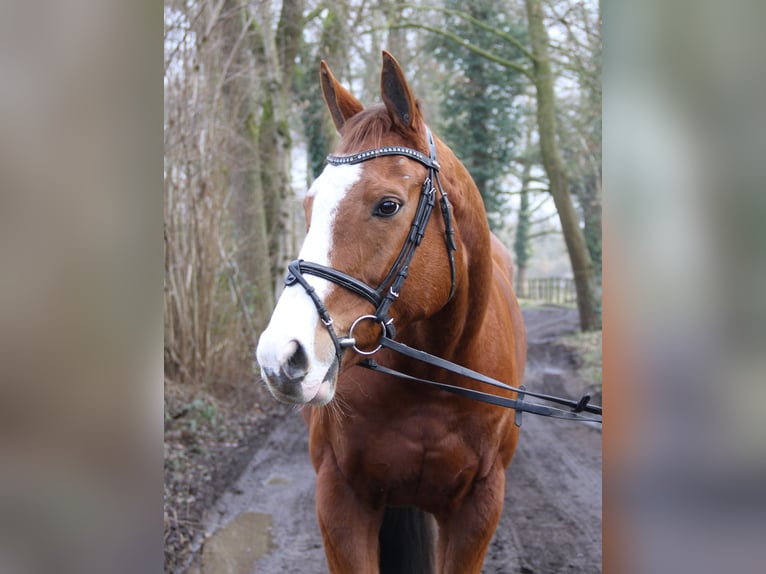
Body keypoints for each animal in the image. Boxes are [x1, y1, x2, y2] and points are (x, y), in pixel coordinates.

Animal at [258, 51, 528, 572]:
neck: (434, 385)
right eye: (309, 204)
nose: (280, 357)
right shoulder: (341, 501)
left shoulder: (479, 509)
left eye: (387, 205)